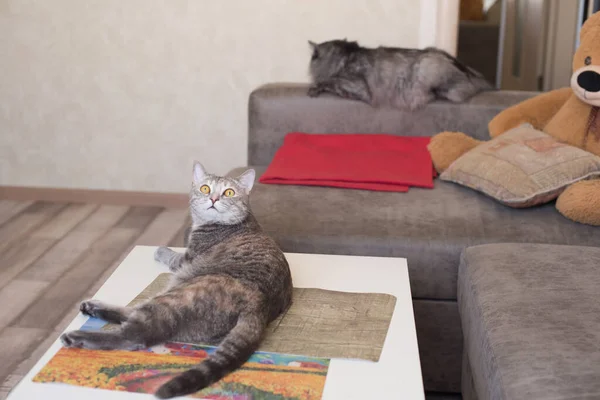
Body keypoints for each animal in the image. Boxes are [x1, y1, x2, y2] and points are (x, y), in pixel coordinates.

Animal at [60, 161, 292, 398]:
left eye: (229, 192)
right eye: (205, 188)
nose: (213, 199)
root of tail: (259, 306)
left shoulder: (186, 259)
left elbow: (172, 256)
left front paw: (160, 250)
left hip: (177, 296)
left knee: (134, 335)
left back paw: (78, 335)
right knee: (133, 316)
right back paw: (92, 307)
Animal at [308, 38, 494, 110]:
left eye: (312, 58)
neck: (345, 58)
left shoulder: (359, 87)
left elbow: (331, 81)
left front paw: (315, 88)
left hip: (425, 66)